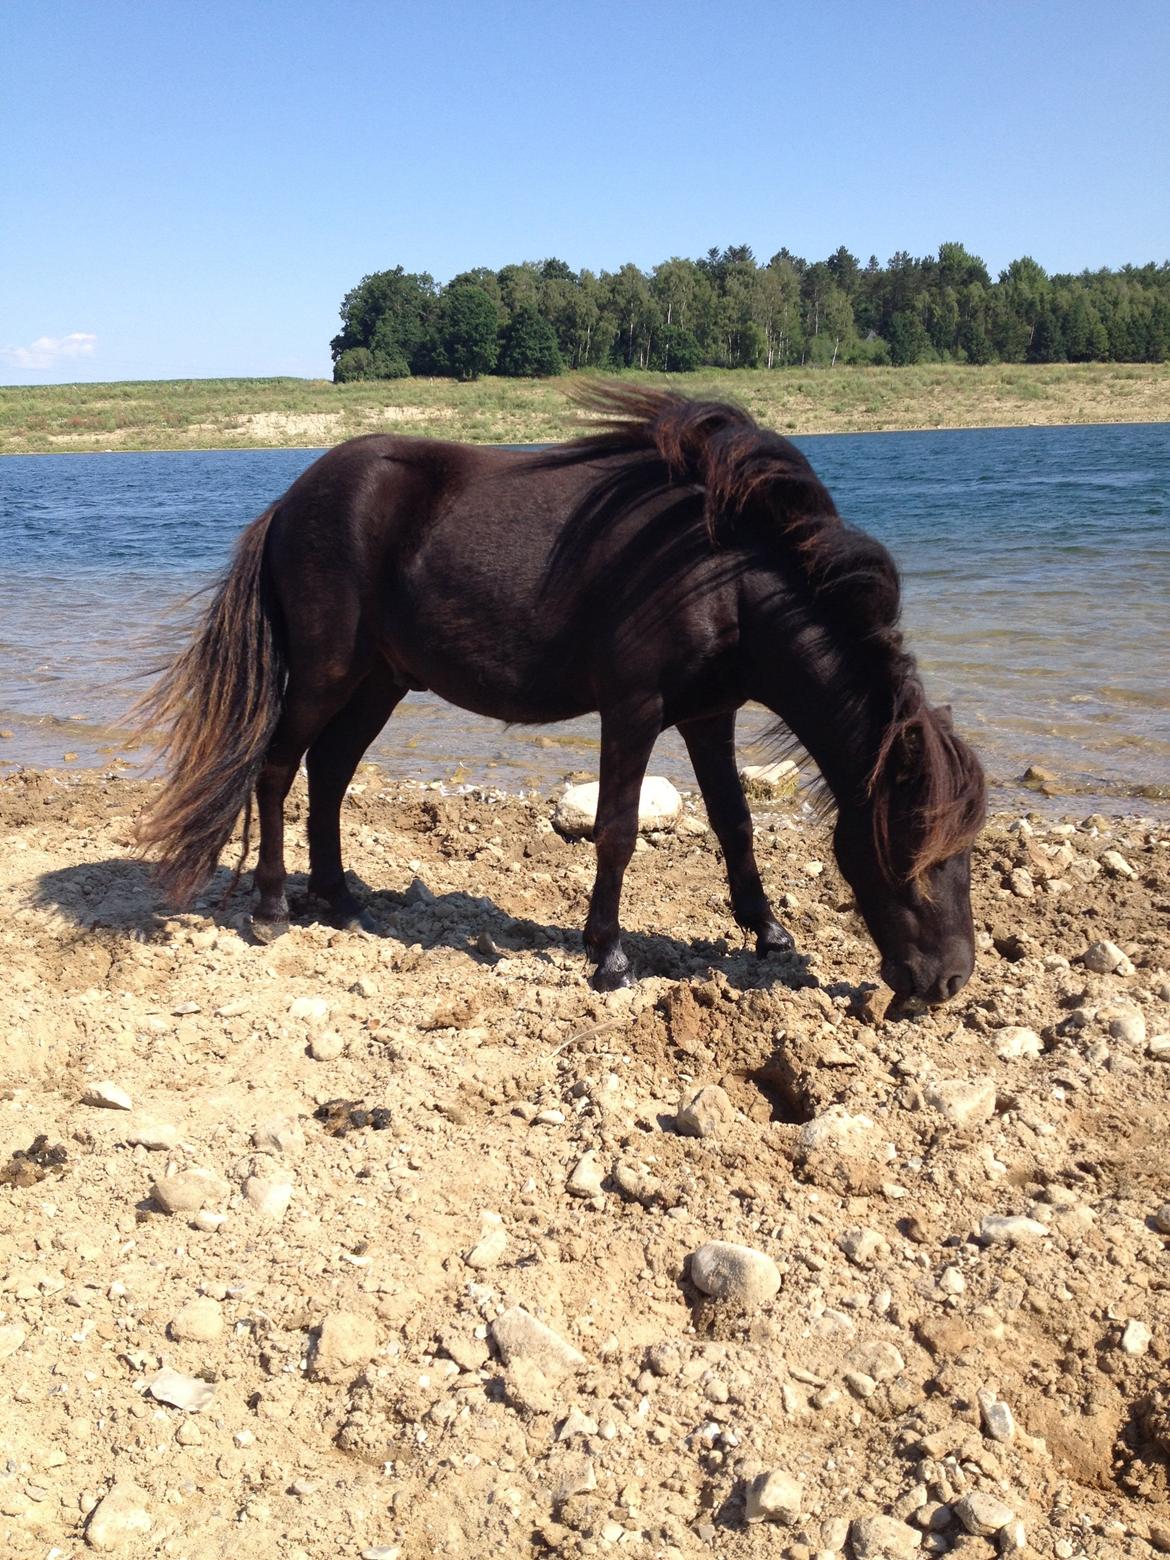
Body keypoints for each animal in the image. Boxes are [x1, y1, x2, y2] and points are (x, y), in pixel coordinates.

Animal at [141, 388, 992, 998]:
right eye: (913, 845)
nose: (950, 980)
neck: (720, 573)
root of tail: (290, 501)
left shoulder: (710, 716)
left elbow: (736, 824)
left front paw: (768, 931)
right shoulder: (634, 709)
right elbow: (617, 831)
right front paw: (608, 954)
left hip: (378, 683)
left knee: (328, 774)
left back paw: (339, 899)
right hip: (324, 674)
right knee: (278, 768)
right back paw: (272, 908)